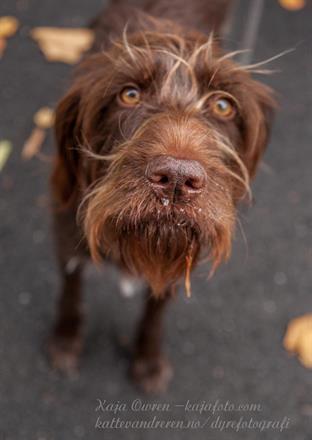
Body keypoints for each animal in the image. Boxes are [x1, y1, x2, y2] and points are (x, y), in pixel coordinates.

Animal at [48, 0, 272, 392]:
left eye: (223, 106)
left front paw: (148, 359)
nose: (177, 179)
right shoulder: (66, 234)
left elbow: (156, 310)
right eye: (129, 95)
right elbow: (71, 292)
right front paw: (65, 339)